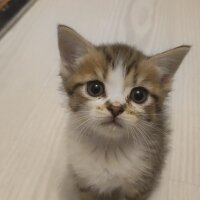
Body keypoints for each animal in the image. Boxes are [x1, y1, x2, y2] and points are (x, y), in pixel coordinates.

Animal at [57, 25, 190, 200]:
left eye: (139, 95)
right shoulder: (84, 181)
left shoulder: (140, 183)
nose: (115, 108)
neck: (108, 147)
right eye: (94, 88)